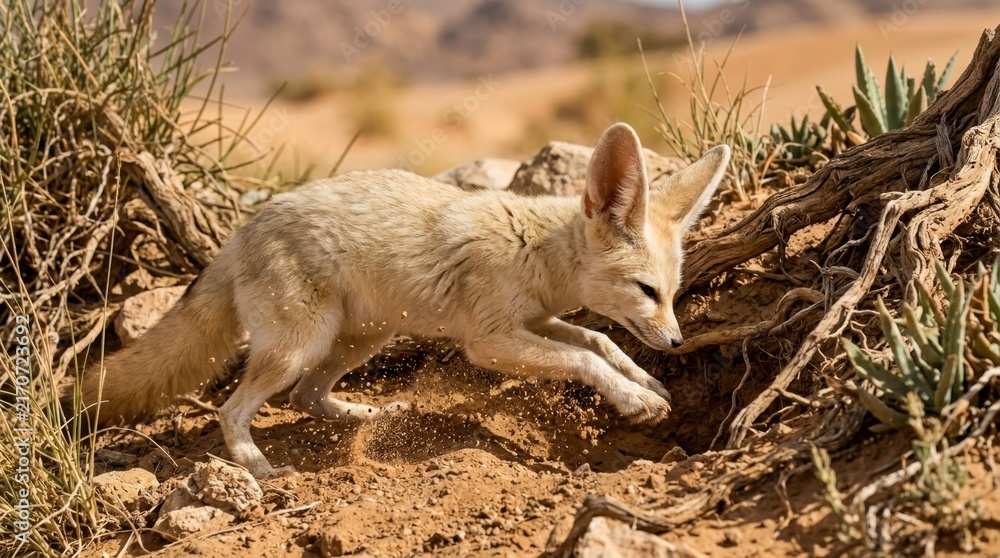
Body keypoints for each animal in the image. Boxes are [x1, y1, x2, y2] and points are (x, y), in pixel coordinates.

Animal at [76, 123, 730, 478]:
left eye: (671, 295)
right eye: (647, 292)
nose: (677, 340)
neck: (534, 252)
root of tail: (238, 233)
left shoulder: (534, 320)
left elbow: (596, 340)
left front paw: (646, 384)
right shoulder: (490, 341)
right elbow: (583, 357)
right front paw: (634, 398)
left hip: (361, 339)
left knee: (306, 398)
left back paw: (370, 416)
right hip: (300, 345)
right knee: (233, 411)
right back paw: (261, 471)